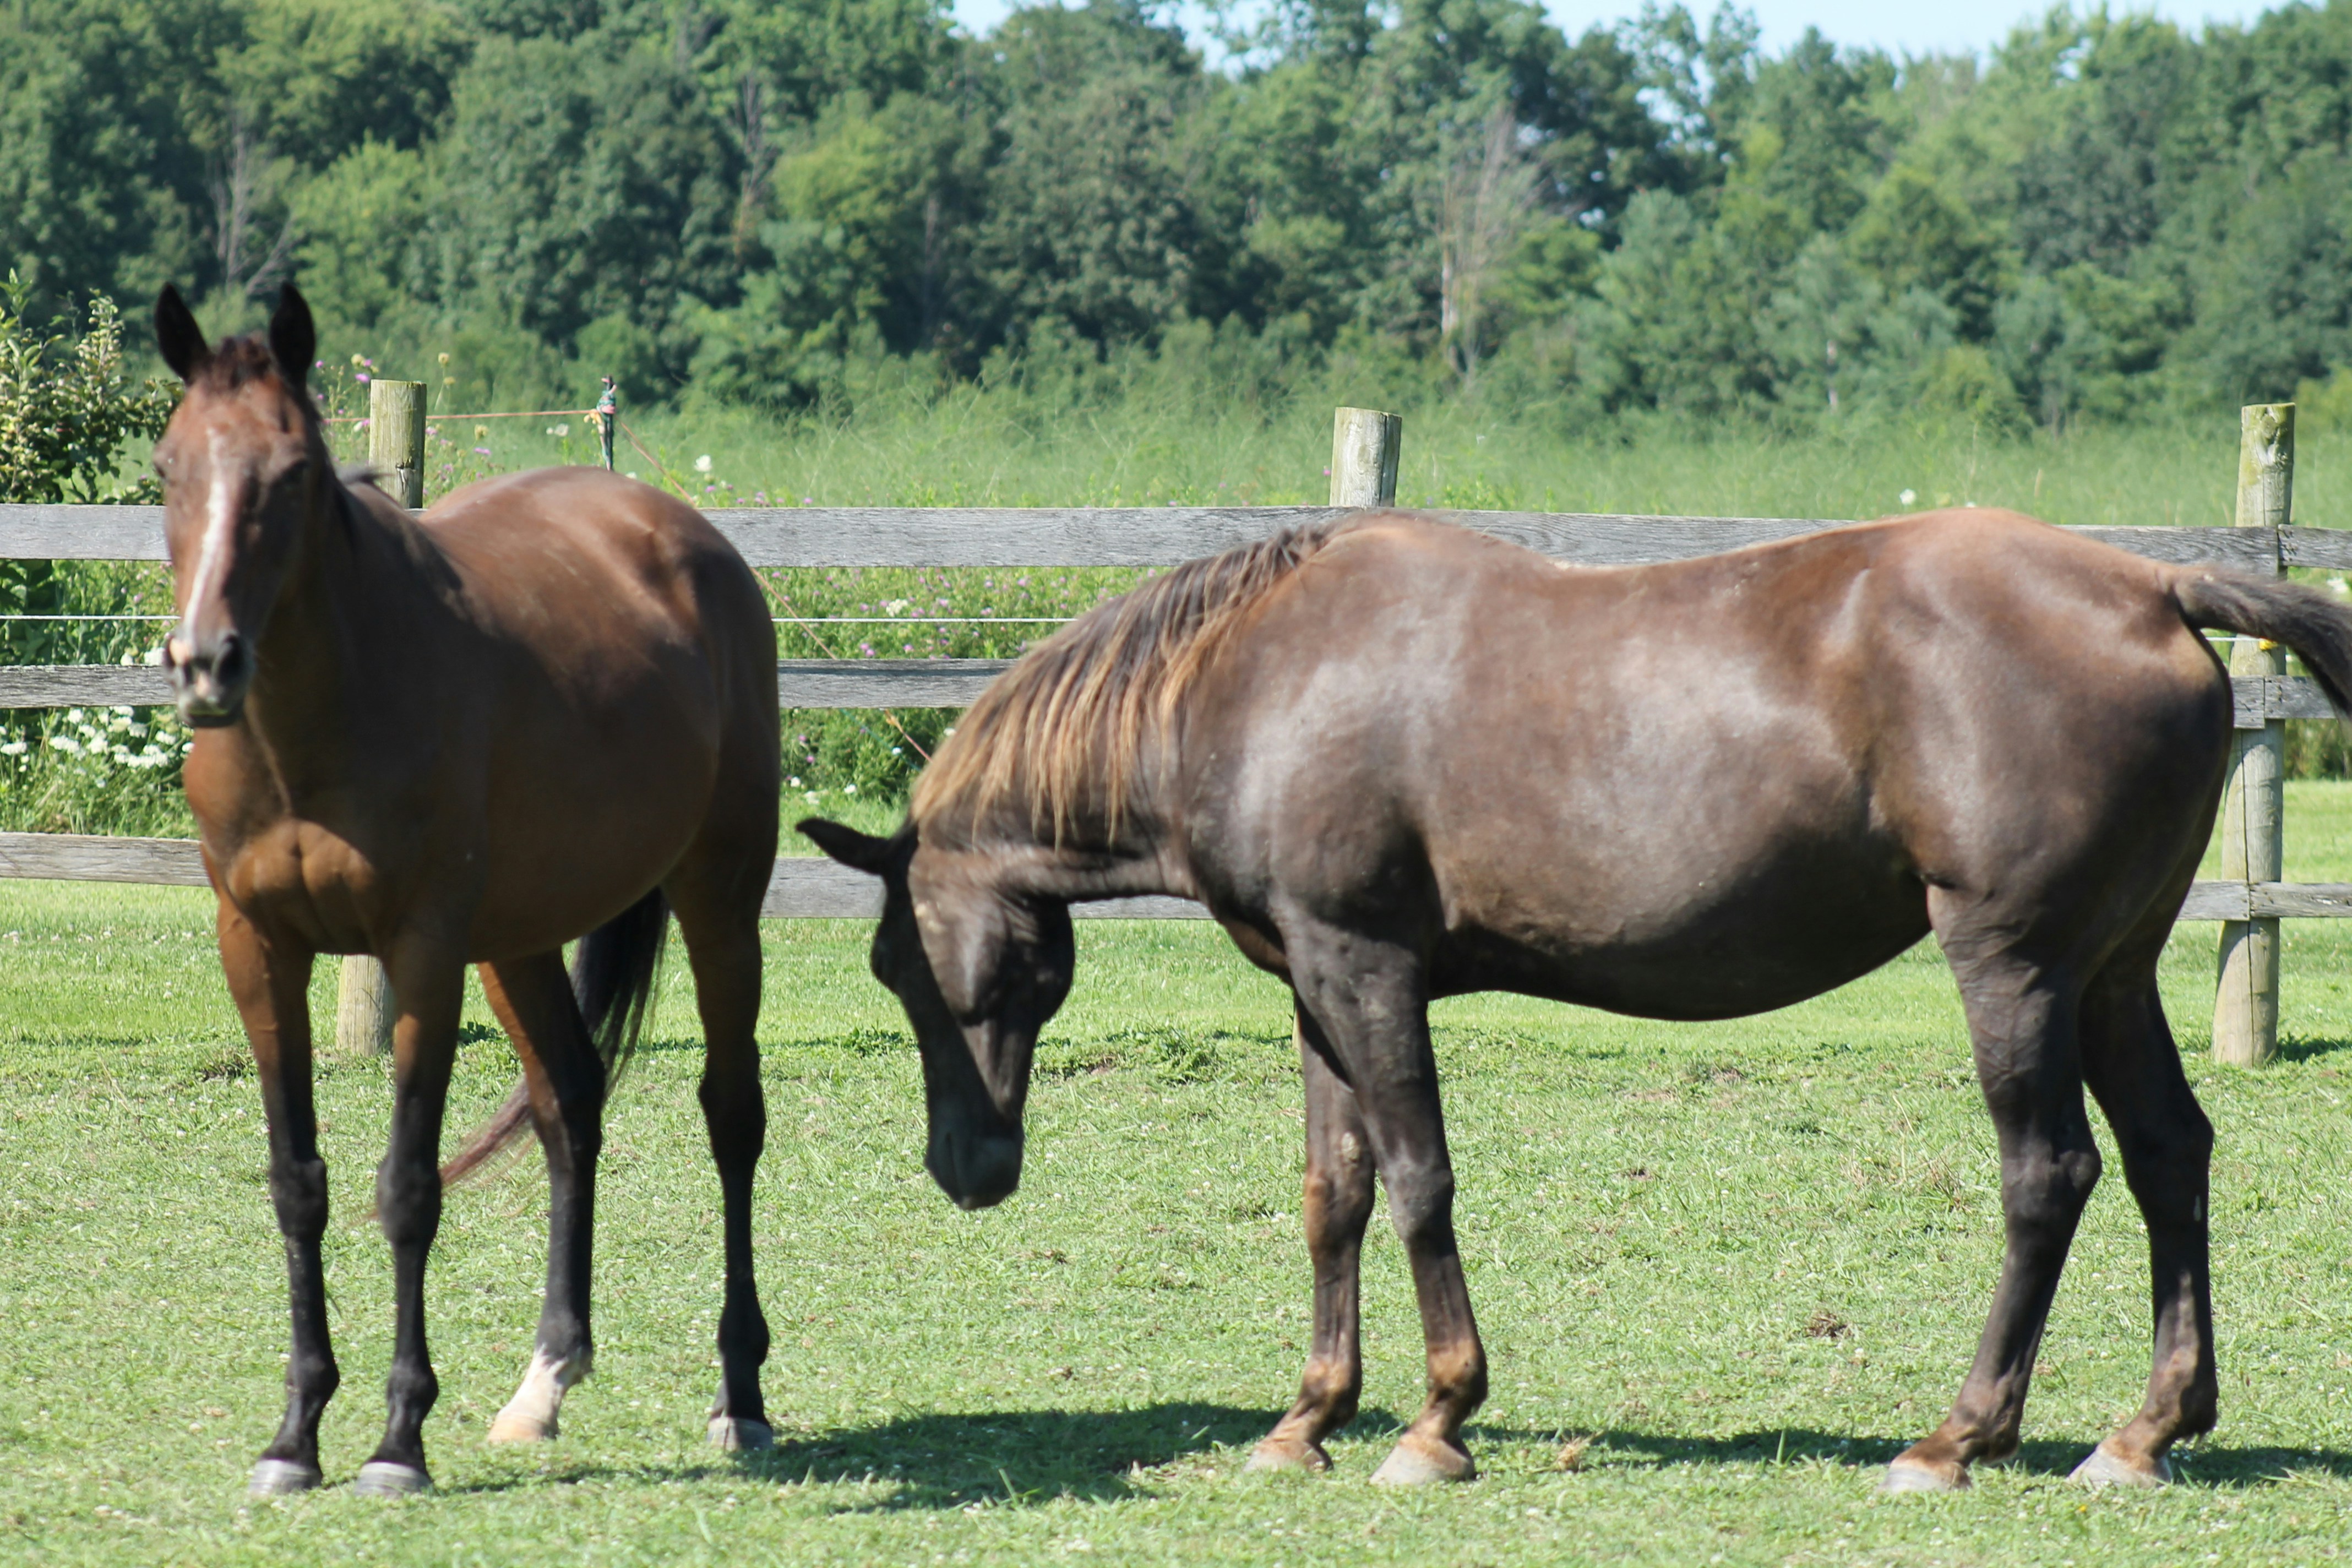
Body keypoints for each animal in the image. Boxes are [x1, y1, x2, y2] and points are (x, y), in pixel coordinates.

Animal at [150, 285, 781, 1497]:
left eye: (292, 472)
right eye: (168, 464)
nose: (207, 663)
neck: (319, 720)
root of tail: (681, 535)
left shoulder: (422, 951)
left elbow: (406, 1186)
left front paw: (398, 1437)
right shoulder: (258, 948)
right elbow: (297, 1180)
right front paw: (294, 1432)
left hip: (719, 901)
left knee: (732, 1116)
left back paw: (743, 1396)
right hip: (520, 941)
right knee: (570, 1104)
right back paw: (544, 1383)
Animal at [803, 506, 2352, 1493]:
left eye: (910, 964)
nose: (967, 1165)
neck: (1250, 678)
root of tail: (2153, 590)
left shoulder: (1369, 968)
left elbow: (1419, 1177)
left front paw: (1436, 1418)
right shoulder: (1314, 981)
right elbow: (1335, 1190)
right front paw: (1306, 1417)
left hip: (2015, 966)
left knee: (2051, 1171)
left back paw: (1954, 1438)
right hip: (2112, 972)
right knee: (2168, 1157)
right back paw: (2143, 1432)